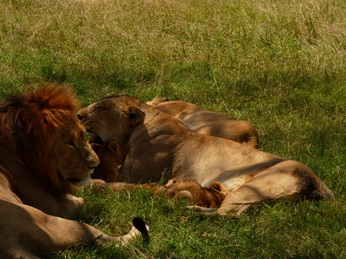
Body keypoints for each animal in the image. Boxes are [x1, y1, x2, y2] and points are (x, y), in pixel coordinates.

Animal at [0, 85, 147, 258]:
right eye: (70, 143)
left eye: (83, 136)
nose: (94, 165)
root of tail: (8, 247)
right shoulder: (57, 206)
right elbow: (82, 197)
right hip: (60, 225)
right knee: (109, 241)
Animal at [77, 95, 334, 217]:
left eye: (101, 108)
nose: (78, 115)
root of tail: (317, 181)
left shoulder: (132, 176)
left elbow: (114, 181)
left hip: (254, 188)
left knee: (230, 215)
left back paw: (191, 211)